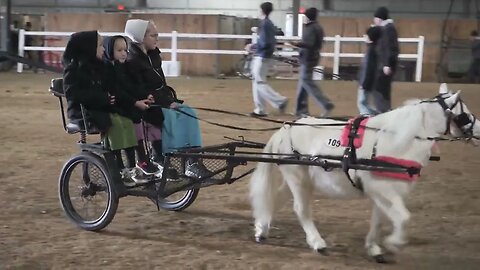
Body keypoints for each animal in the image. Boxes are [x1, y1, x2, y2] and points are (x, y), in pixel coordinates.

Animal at [249, 84, 478, 262]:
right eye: (464, 115)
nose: (478, 132)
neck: (395, 140)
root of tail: (286, 128)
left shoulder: (383, 192)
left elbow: (379, 220)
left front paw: (374, 248)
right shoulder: (382, 188)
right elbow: (404, 218)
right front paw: (393, 243)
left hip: (298, 178)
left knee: (277, 198)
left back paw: (262, 230)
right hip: (298, 178)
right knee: (301, 209)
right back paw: (317, 242)